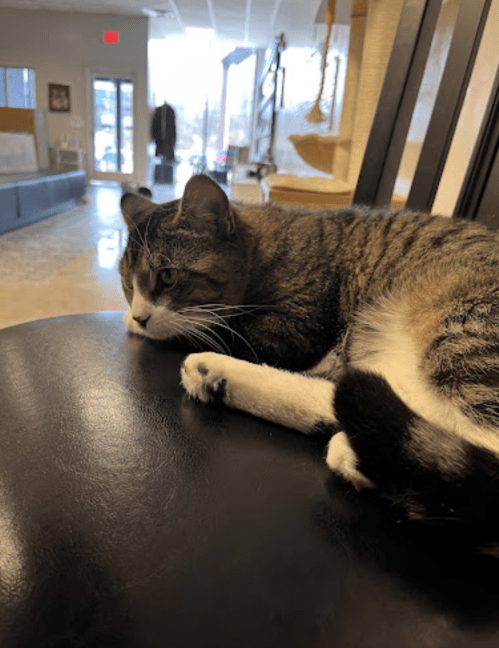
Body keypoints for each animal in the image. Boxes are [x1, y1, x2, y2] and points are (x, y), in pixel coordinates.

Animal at [120, 175, 499, 524]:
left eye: (167, 276)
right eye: (127, 282)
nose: (139, 316)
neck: (266, 251)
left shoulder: (294, 327)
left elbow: (210, 328)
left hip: (461, 330)